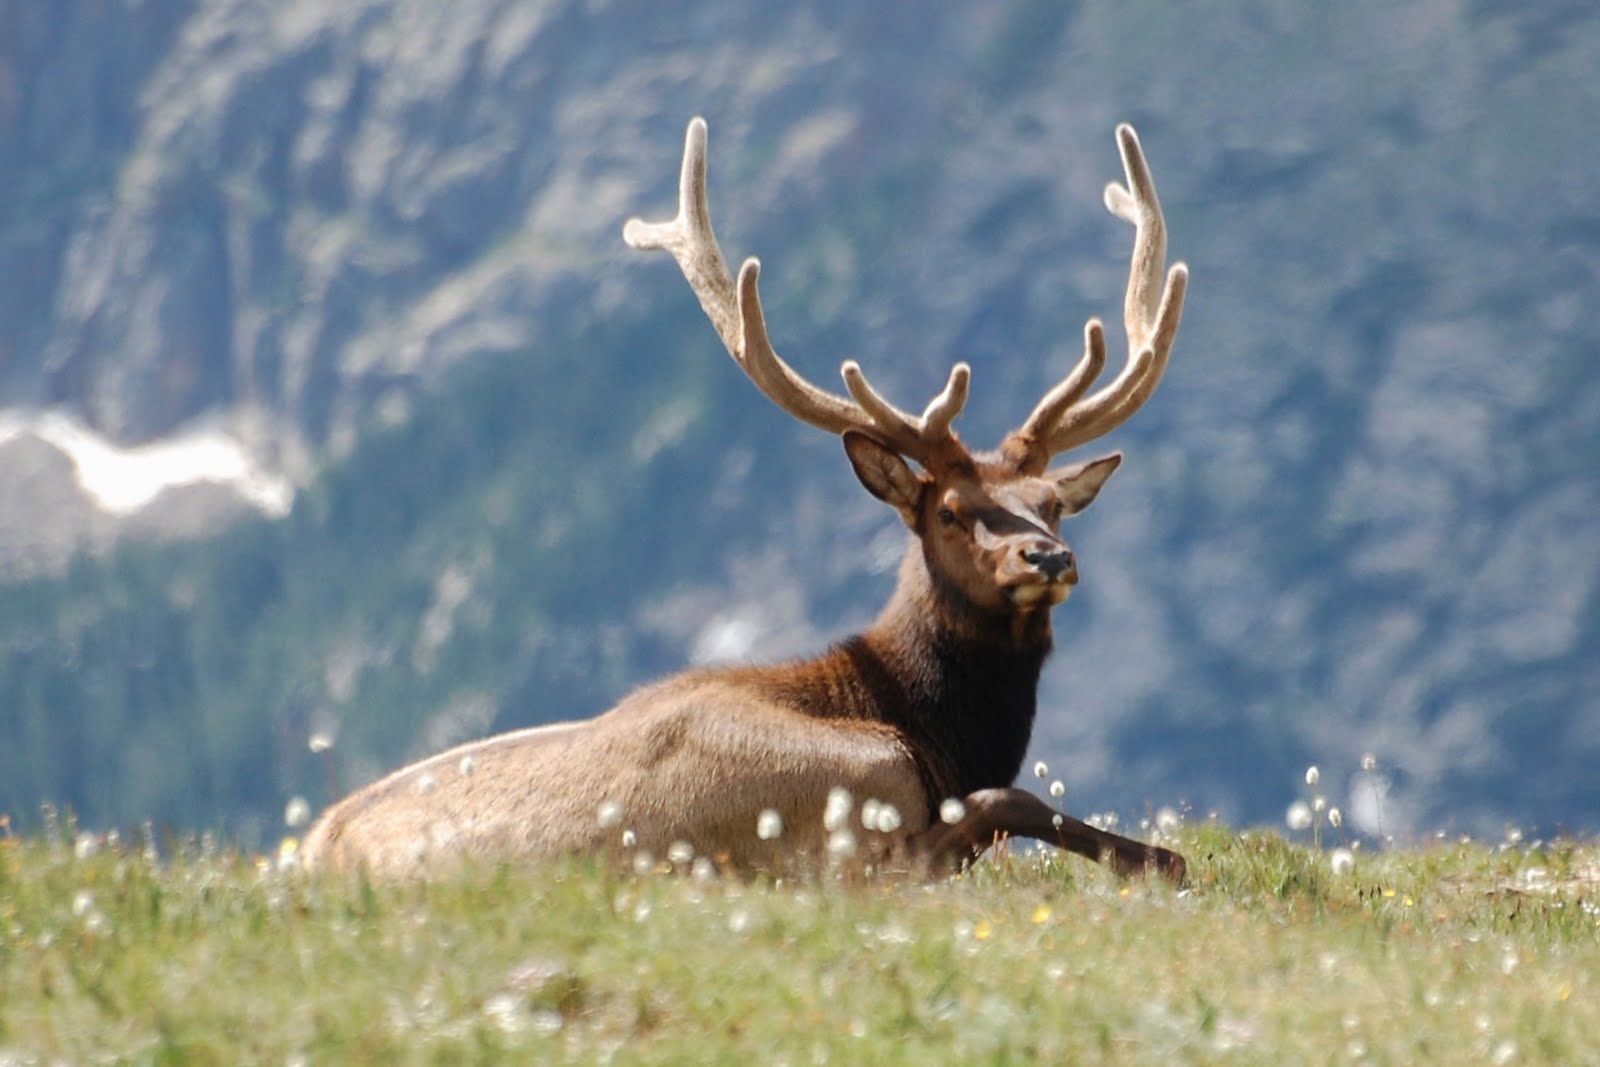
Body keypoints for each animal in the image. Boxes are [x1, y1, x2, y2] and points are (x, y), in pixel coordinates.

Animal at [300, 117, 1189, 883]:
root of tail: (305, 855)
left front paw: (1163, 858)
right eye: (948, 511)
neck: (931, 734)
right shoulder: (856, 832)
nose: (1049, 556)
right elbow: (1011, 798)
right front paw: (1157, 860)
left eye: (1052, 501)